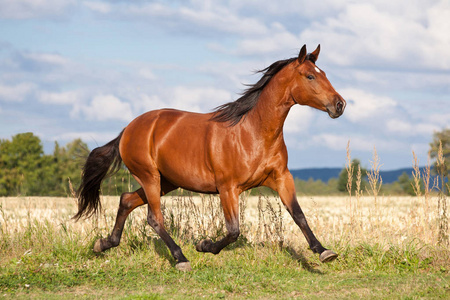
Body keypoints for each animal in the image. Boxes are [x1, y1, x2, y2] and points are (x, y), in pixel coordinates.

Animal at [75, 44, 346, 272]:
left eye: (323, 73)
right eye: (310, 76)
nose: (339, 104)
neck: (253, 133)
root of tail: (128, 129)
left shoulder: (281, 178)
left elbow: (298, 215)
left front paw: (324, 251)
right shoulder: (228, 188)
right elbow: (234, 230)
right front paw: (204, 245)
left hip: (166, 181)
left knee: (126, 200)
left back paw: (104, 243)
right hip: (149, 177)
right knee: (154, 218)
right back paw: (181, 258)